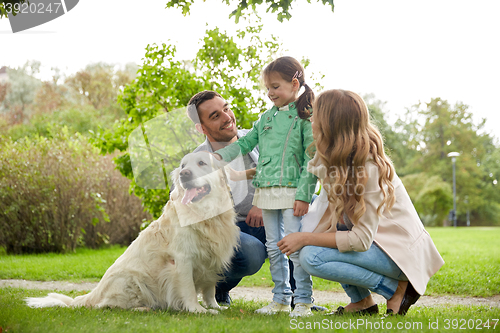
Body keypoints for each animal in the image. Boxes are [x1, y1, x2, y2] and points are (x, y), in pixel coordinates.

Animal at [25, 152, 240, 312]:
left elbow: (210, 288)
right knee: (108, 306)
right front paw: (198, 310)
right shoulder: (183, 259)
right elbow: (187, 289)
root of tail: (93, 293)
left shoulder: (211, 258)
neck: (206, 215)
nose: (184, 174)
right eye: (183, 165)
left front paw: (215, 306)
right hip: (132, 281)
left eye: (202, 163)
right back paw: (144, 308)